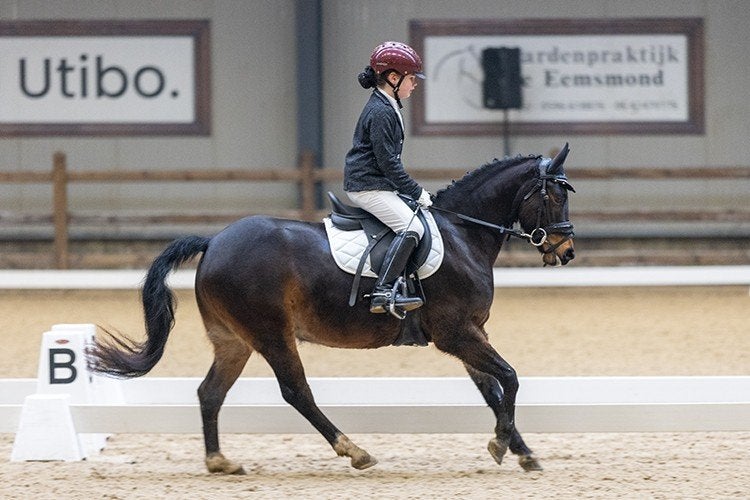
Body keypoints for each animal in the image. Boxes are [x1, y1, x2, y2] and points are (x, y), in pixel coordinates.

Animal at [87, 144, 576, 474]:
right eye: (554, 197)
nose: (566, 252)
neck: (462, 234)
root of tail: (214, 242)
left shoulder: (470, 332)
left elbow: (492, 389)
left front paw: (522, 452)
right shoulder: (456, 333)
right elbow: (509, 378)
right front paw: (502, 446)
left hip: (233, 341)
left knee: (210, 392)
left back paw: (219, 461)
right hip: (271, 334)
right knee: (296, 392)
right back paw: (354, 451)